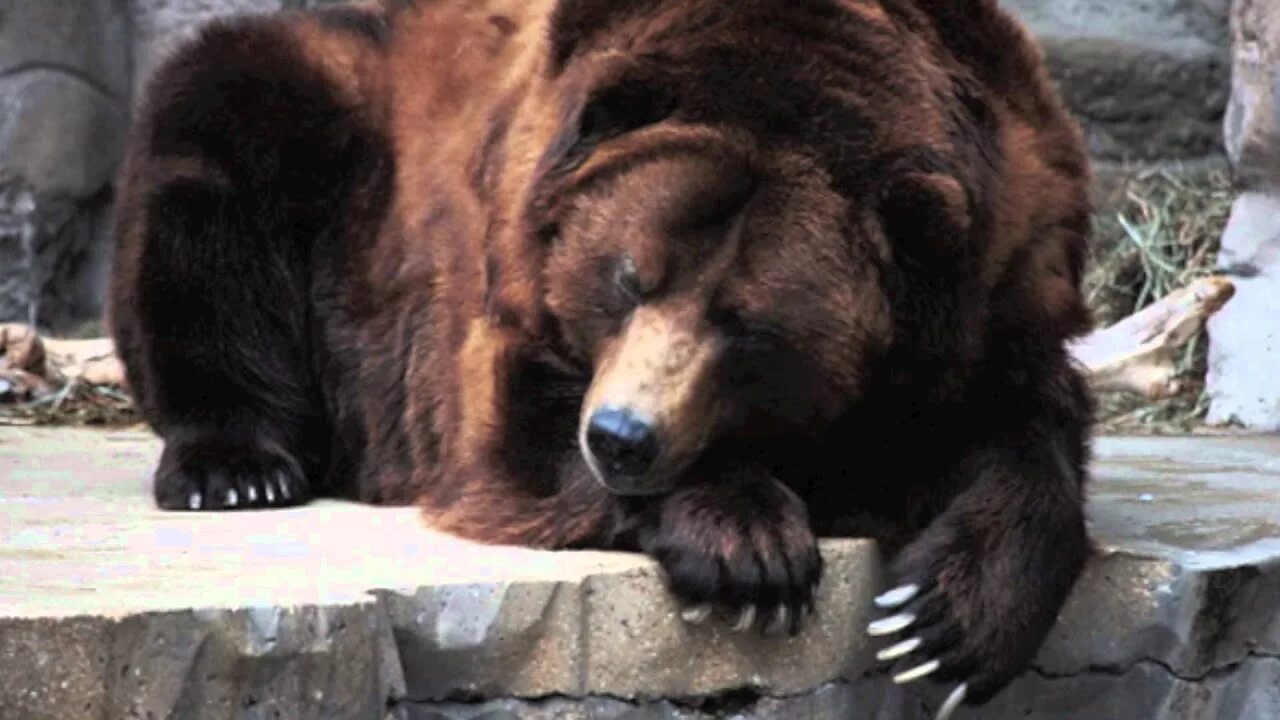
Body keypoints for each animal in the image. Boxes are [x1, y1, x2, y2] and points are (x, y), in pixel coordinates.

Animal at [107, 0, 1095, 715]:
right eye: (629, 277)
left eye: (748, 325)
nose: (623, 437)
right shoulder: (508, 247)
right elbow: (519, 430)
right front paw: (749, 545)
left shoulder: (994, 282)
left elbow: (1025, 433)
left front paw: (941, 626)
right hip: (345, 153)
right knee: (219, 124)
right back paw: (238, 466)